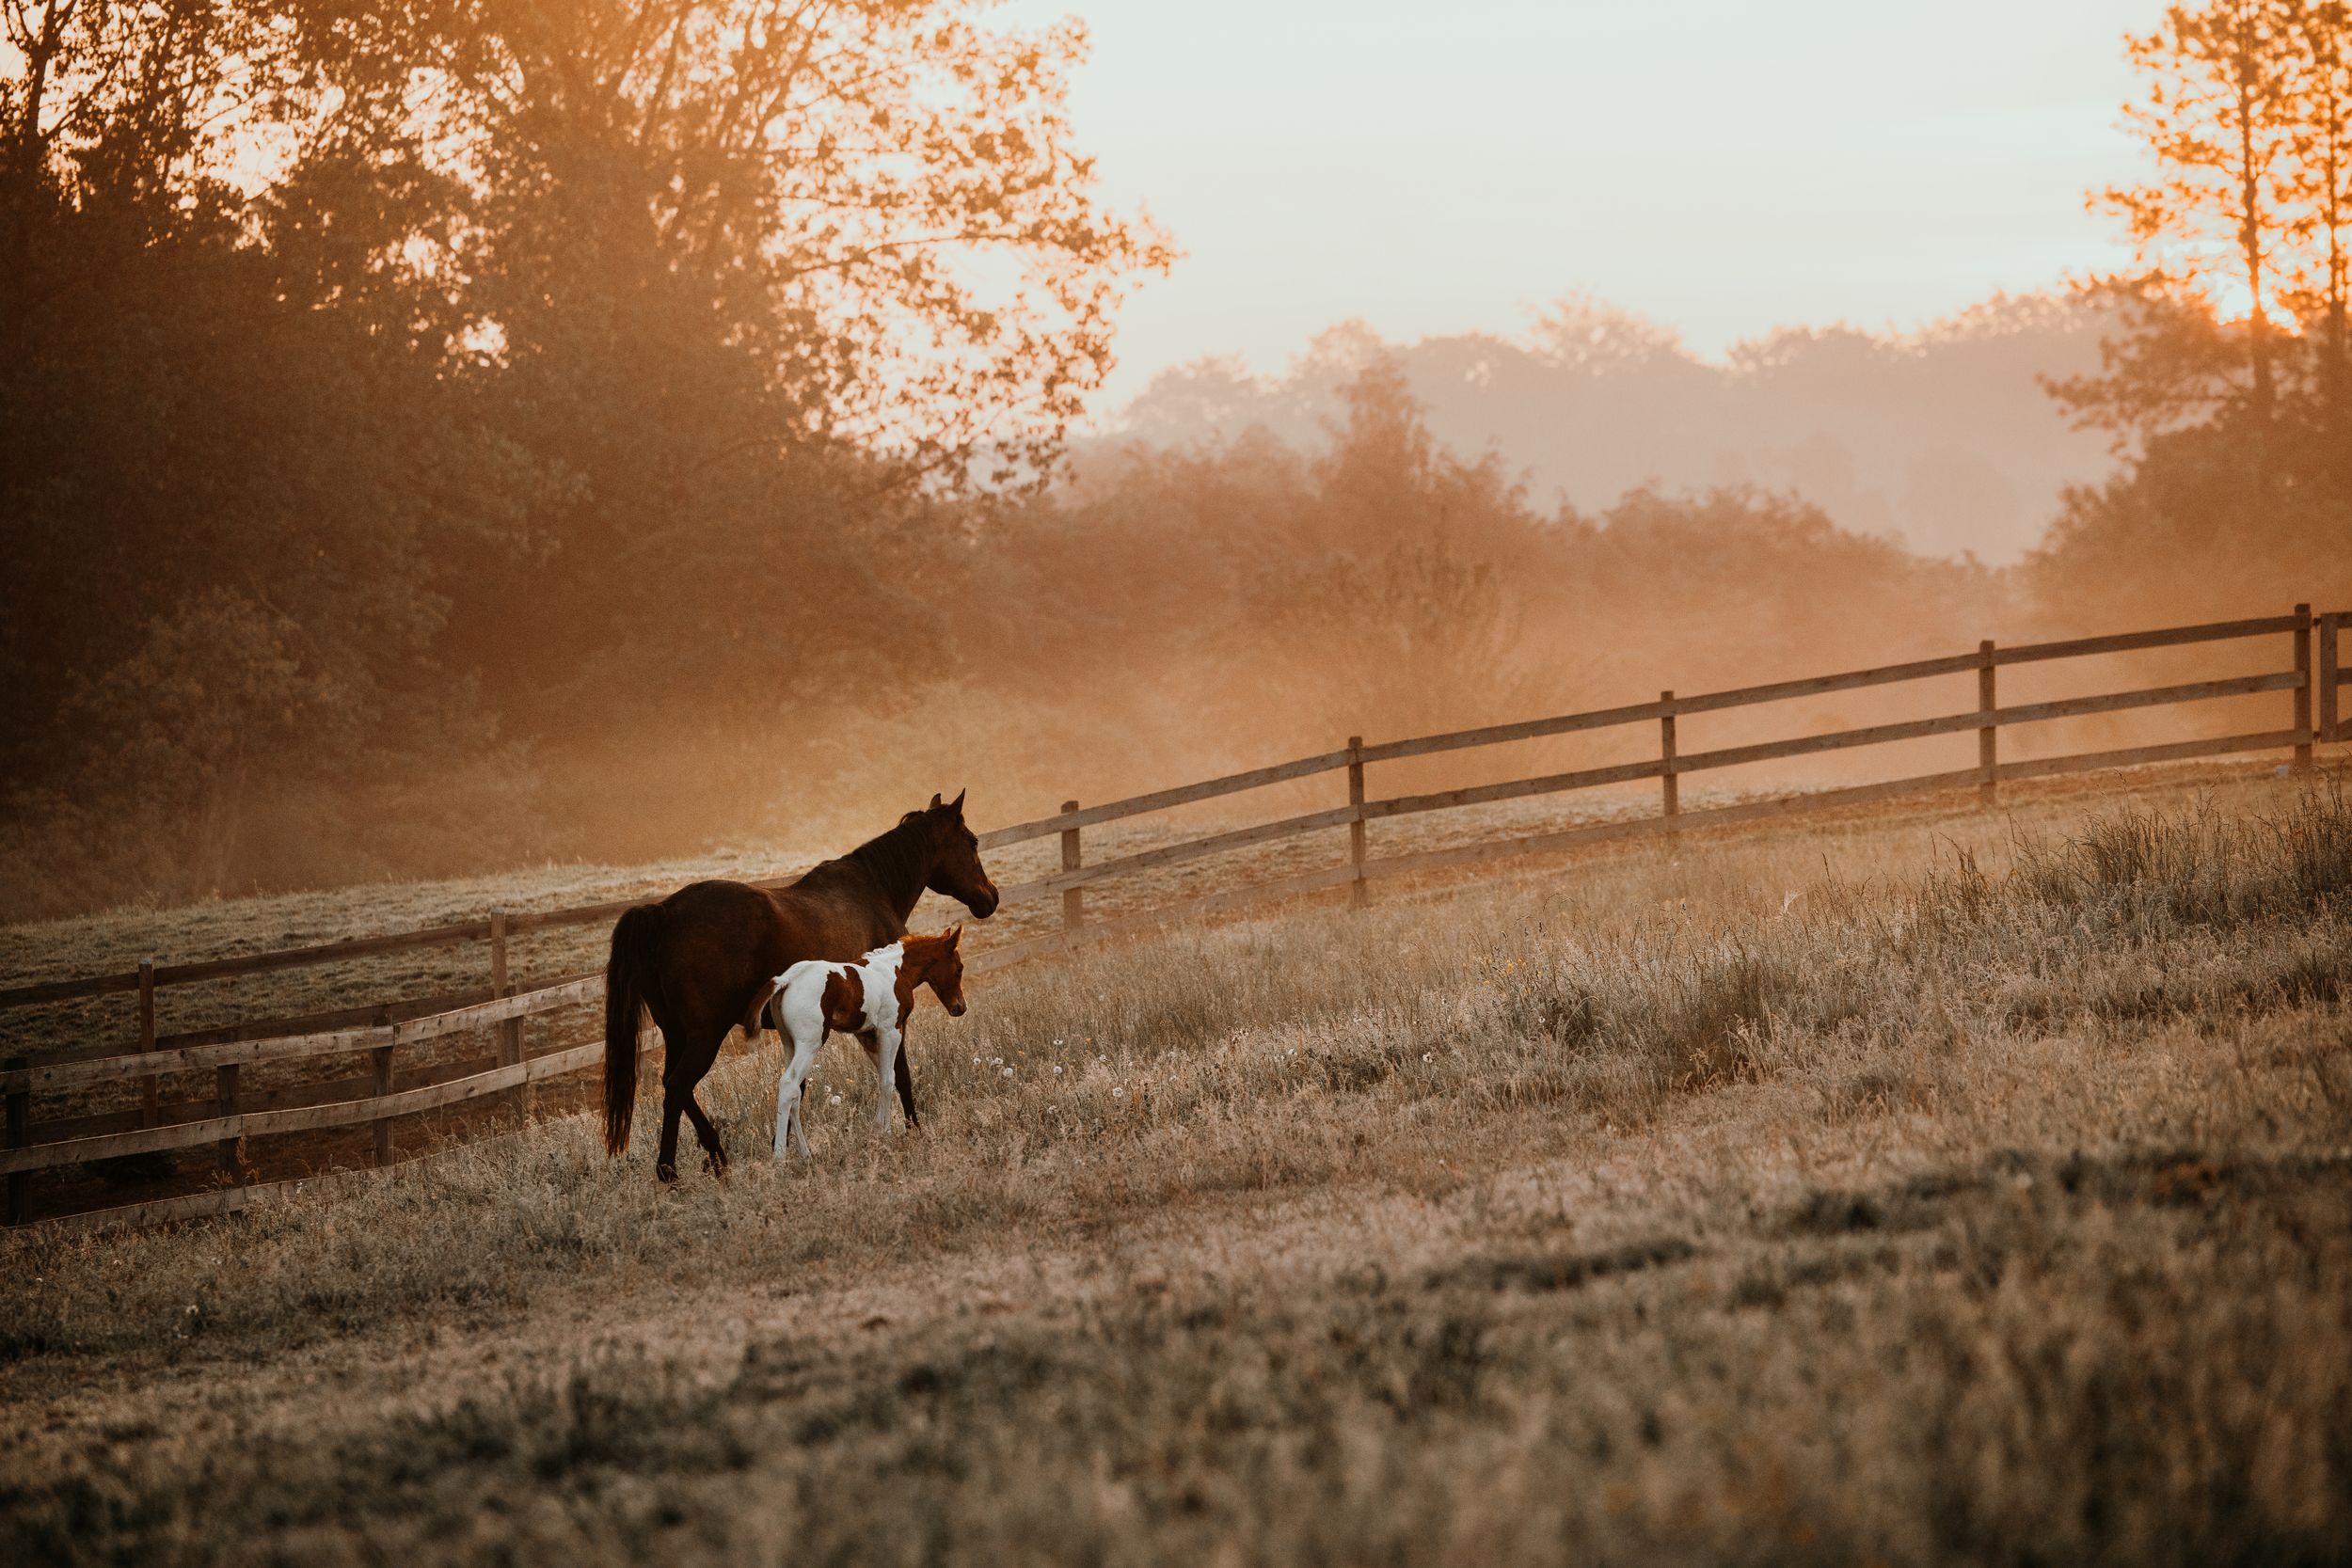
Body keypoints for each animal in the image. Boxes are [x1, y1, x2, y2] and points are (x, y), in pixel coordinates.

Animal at [765, 926, 967, 1159]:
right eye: (959, 968)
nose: (960, 1007)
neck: (895, 970)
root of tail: (787, 980)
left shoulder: (867, 1035)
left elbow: (884, 1076)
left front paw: (876, 1130)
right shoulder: (890, 1030)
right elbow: (889, 1079)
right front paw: (886, 1132)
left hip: (790, 1045)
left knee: (796, 1094)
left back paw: (806, 1153)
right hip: (809, 1045)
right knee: (788, 1085)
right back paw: (780, 1155)